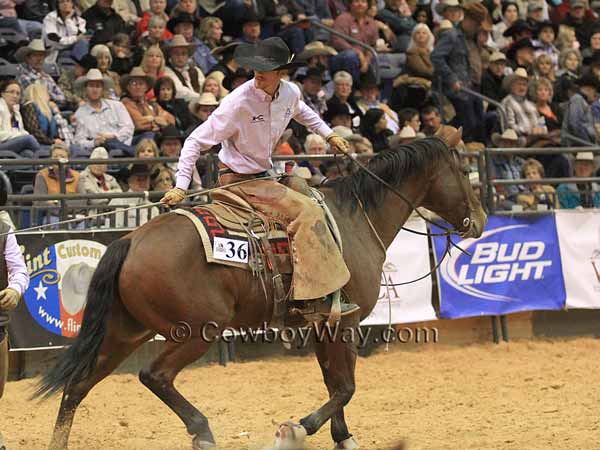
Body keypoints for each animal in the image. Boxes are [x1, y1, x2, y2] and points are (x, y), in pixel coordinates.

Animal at [32, 128, 486, 448]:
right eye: (463, 172)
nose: (480, 220)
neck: (355, 218)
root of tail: (130, 240)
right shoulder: (345, 323)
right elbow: (346, 385)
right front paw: (300, 427)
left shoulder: (324, 322)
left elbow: (335, 381)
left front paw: (342, 438)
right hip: (198, 331)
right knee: (153, 375)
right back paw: (203, 432)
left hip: (124, 332)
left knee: (77, 387)